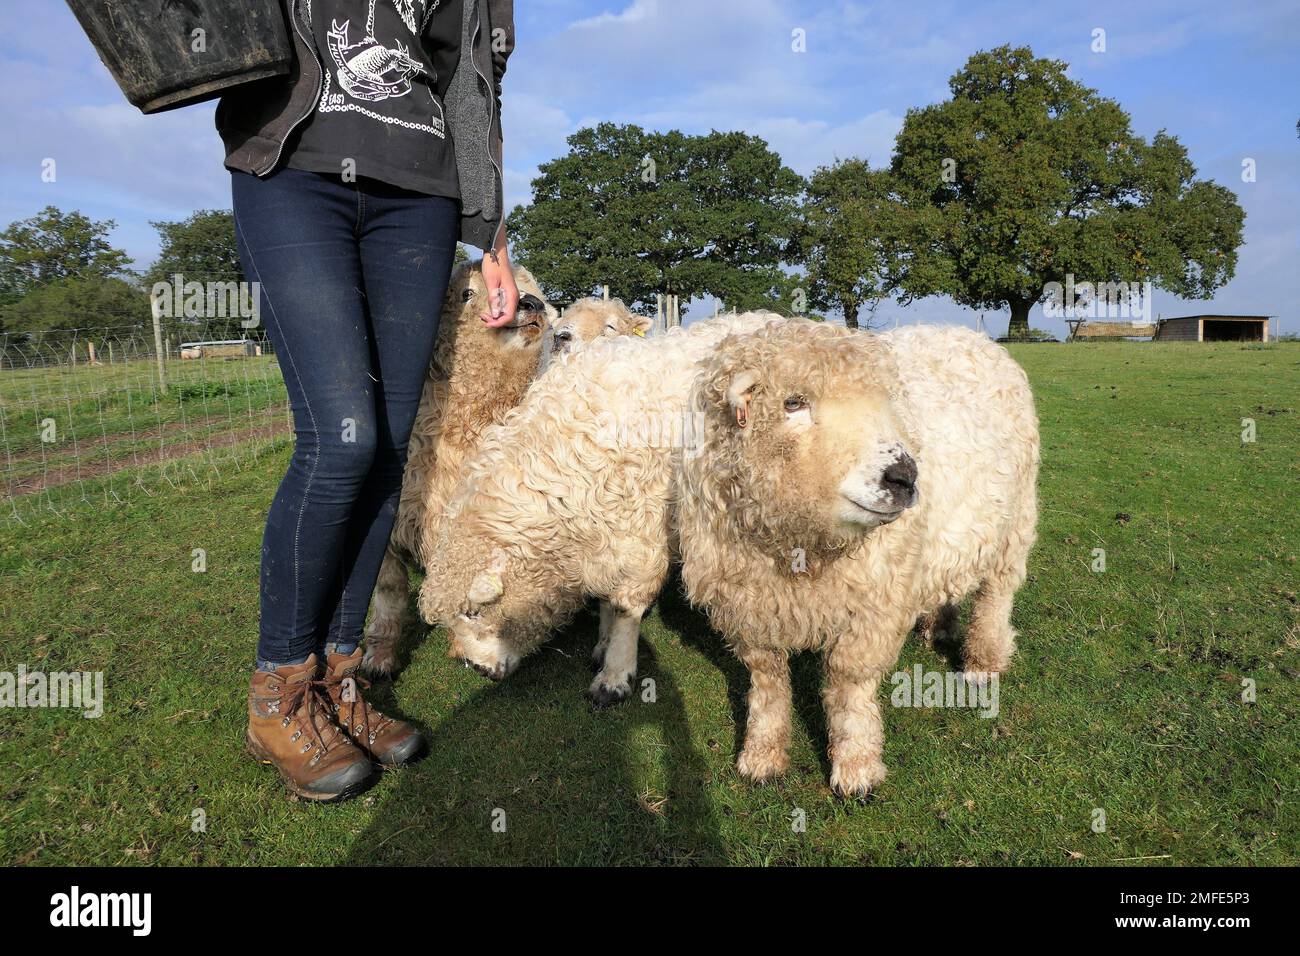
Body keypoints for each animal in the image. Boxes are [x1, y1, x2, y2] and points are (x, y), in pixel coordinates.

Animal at [418, 312, 778, 704]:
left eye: (473, 612)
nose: (478, 669)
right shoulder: (603, 527)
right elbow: (606, 596)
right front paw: (603, 646)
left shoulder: (642, 532)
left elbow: (626, 604)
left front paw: (615, 674)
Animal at [676, 320, 1039, 797]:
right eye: (793, 402)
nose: (904, 476)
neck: (799, 547)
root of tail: (966, 334)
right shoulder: (748, 602)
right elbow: (767, 676)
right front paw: (762, 754)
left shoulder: (873, 601)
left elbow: (849, 681)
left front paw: (856, 765)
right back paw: (937, 627)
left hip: (1013, 524)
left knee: (995, 597)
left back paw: (983, 663)